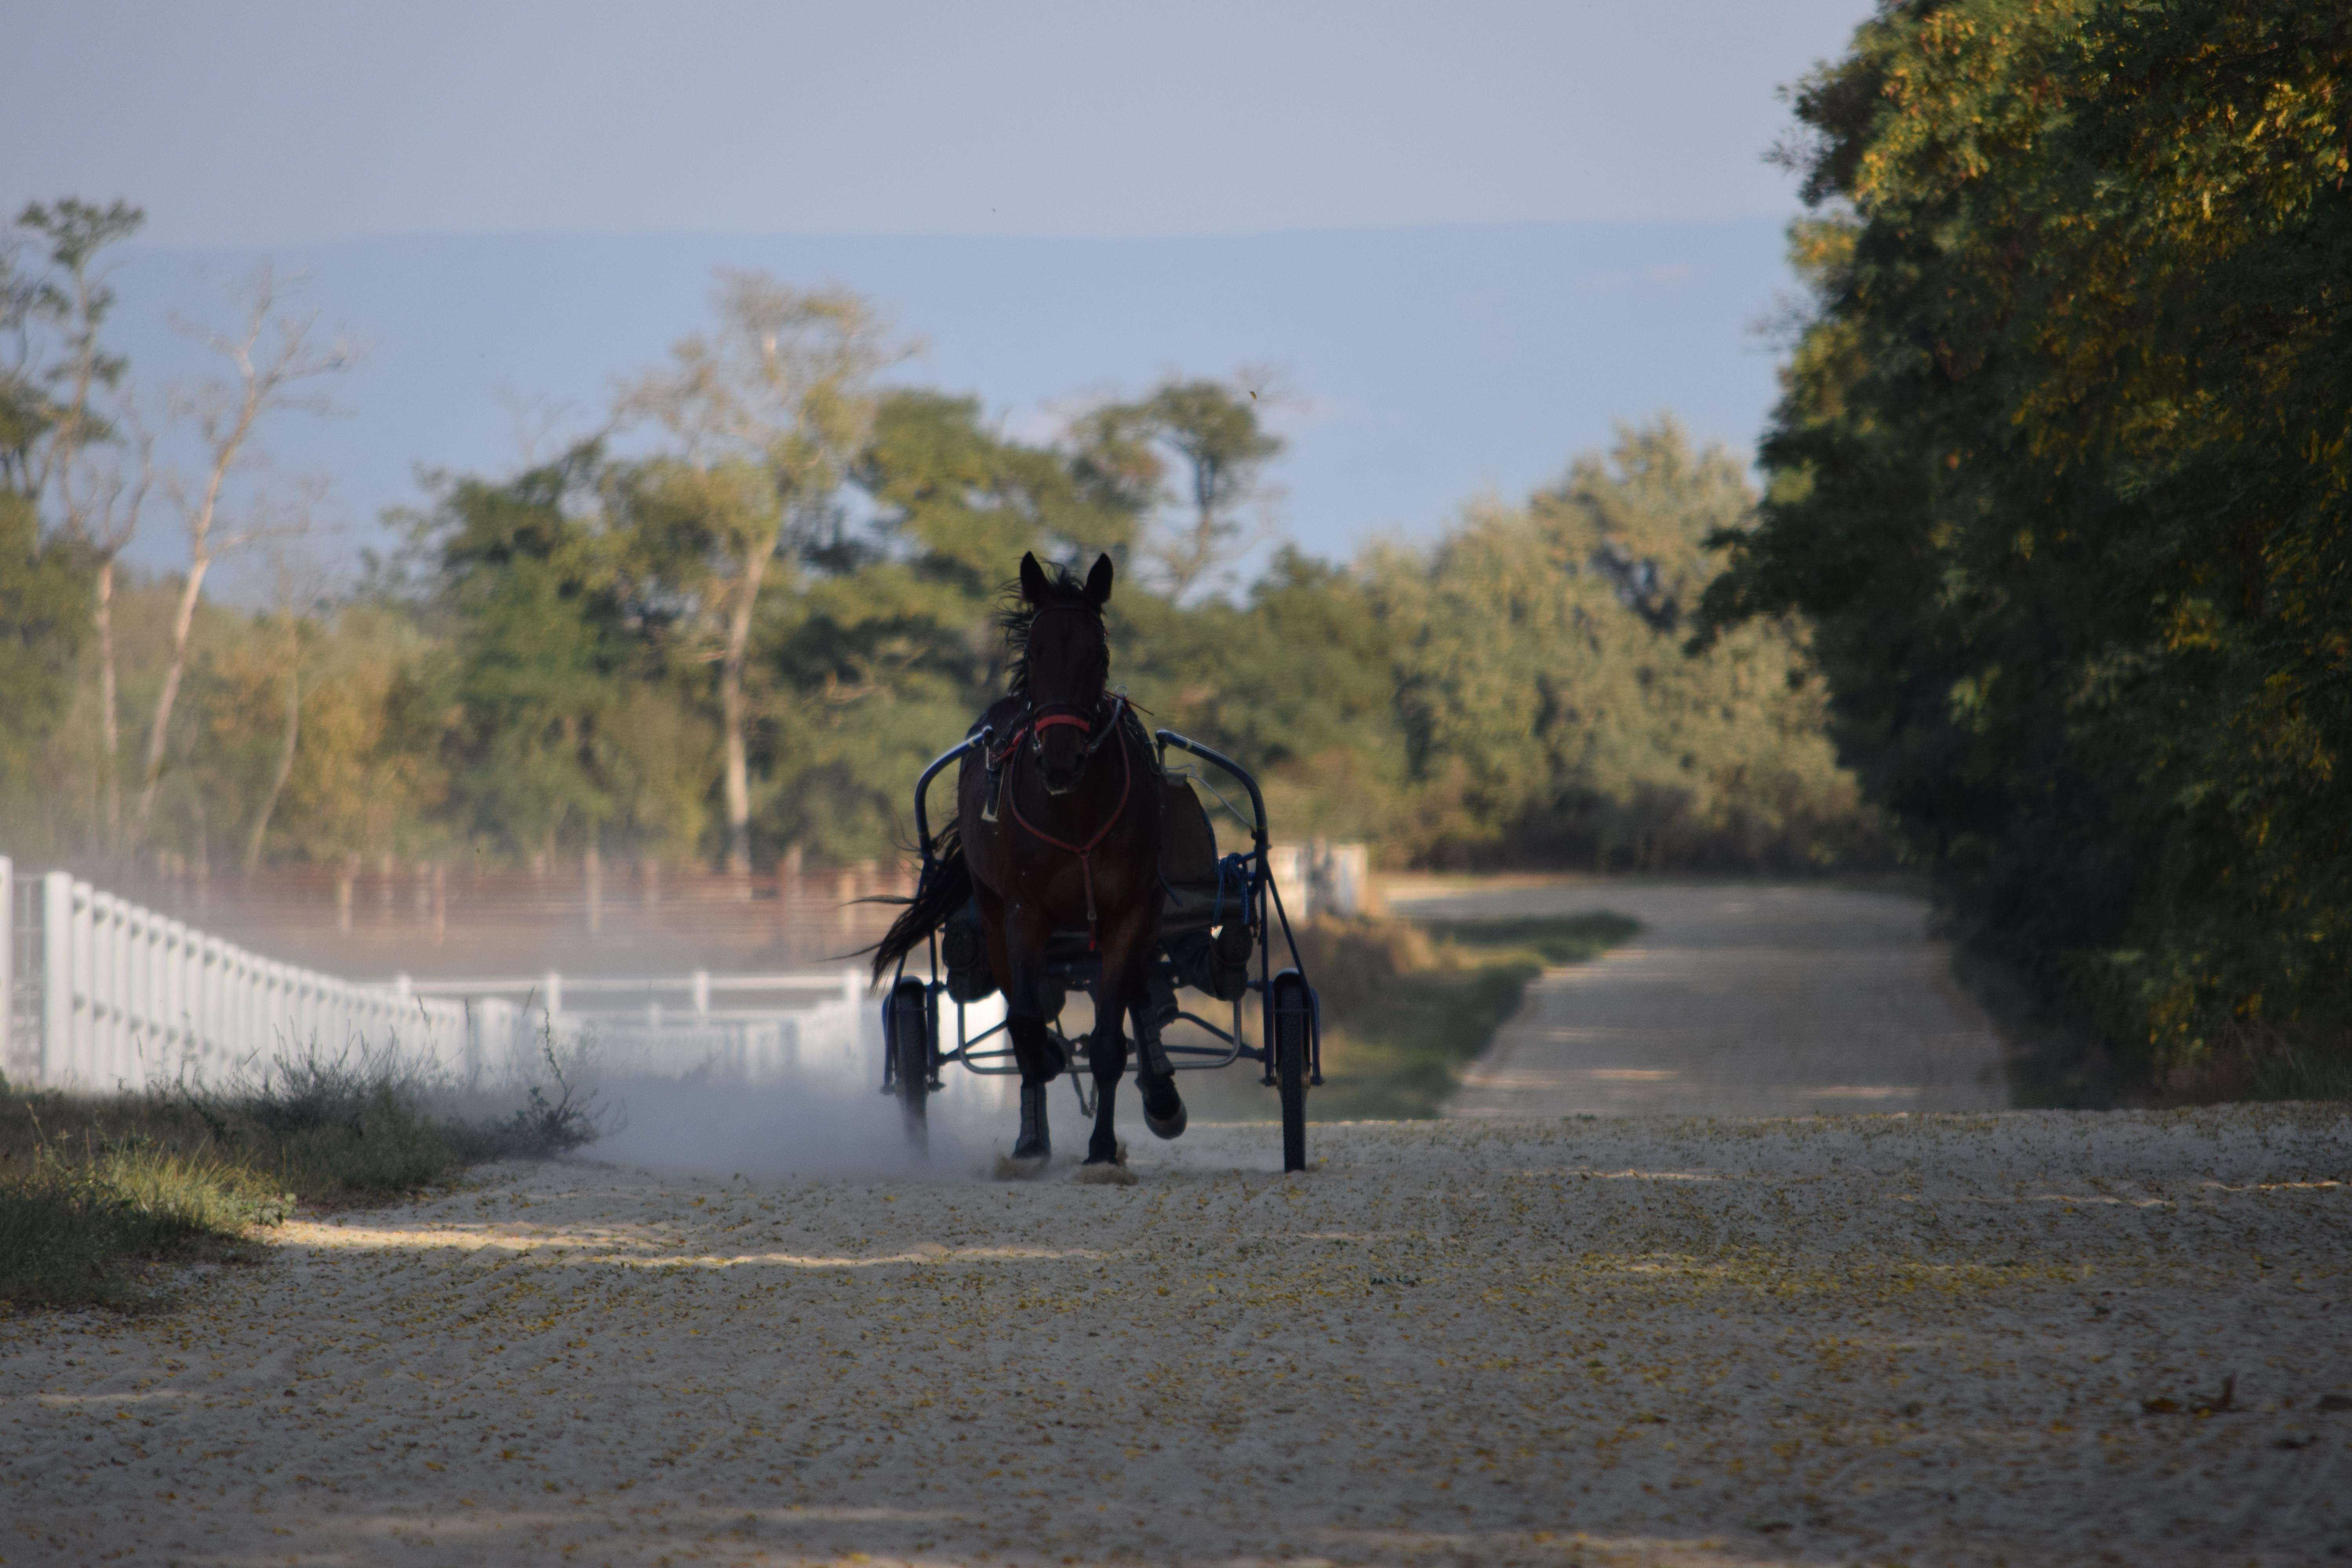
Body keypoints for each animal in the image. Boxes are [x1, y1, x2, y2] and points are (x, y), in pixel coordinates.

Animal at [875, 552, 1185, 1166]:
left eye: (1098, 656)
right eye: (1036, 653)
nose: (1061, 761)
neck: (1074, 813)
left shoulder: (1129, 911)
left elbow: (1112, 1037)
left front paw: (1103, 1147)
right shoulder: (1022, 911)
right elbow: (1024, 1023)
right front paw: (1044, 1075)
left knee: (1141, 993)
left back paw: (1160, 1093)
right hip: (995, 916)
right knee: (1030, 1008)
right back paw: (1032, 1133)